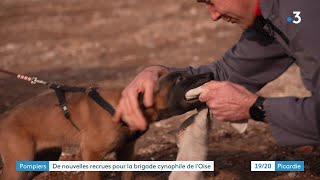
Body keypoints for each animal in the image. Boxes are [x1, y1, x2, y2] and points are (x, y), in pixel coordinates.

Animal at [0, 71, 212, 179]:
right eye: (180, 79)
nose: (209, 72)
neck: (123, 107)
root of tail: (4, 117)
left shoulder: (126, 150)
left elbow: (128, 175)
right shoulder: (90, 153)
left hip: (43, 157)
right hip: (20, 160)